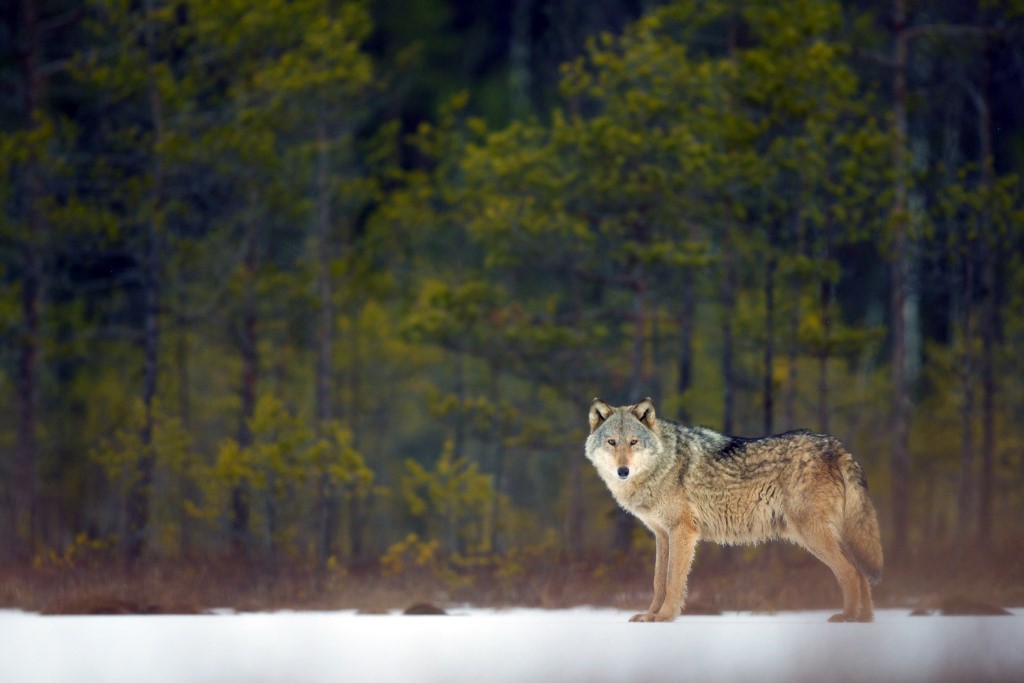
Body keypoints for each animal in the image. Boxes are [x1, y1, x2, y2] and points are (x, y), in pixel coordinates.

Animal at [589, 397, 884, 622]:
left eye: (634, 442)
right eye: (612, 442)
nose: (623, 471)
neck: (665, 464)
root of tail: (837, 446)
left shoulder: (682, 532)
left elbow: (672, 582)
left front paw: (664, 618)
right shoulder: (662, 535)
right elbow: (658, 581)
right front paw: (650, 616)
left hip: (812, 535)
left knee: (850, 572)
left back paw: (847, 617)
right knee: (861, 573)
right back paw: (863, 620)